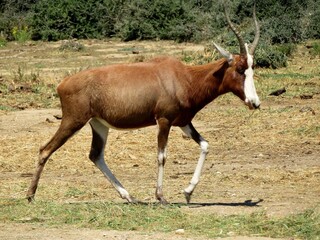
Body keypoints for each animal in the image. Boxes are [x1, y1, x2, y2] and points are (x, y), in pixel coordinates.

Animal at [26, 1, 260, 204]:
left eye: (252, 67)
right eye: (240, 69)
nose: (255, 103)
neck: (183, 76)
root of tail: (63, 84)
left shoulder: (183, 122)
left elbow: (205, 145)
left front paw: (187, 192)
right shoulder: (164, 120)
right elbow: (161, 156)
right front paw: (161, 197)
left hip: (99, 125)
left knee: (96, 155)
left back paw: (129, 196)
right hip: (73, 121)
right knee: (45, 149)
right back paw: (30, 196)